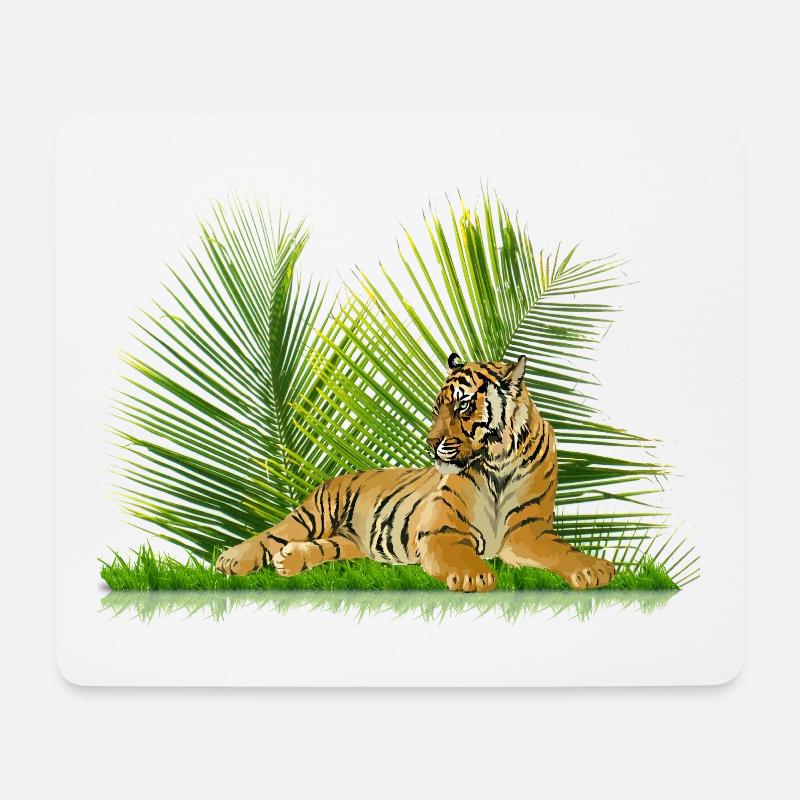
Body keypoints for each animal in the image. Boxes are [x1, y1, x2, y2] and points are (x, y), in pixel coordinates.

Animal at [216, 353, 616, 592]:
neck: (497, 461)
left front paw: (594, 569)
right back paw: (232, 559)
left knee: (321, 547)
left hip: (349, 541)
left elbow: (561, 551)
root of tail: (337, 476)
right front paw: (474, 575)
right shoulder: (441, 530)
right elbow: (459, 555)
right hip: (315, 514)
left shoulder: (528, 531)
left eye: (463, 405)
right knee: (272, 534)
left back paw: (290, 561)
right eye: (437, 408)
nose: (430, 441)